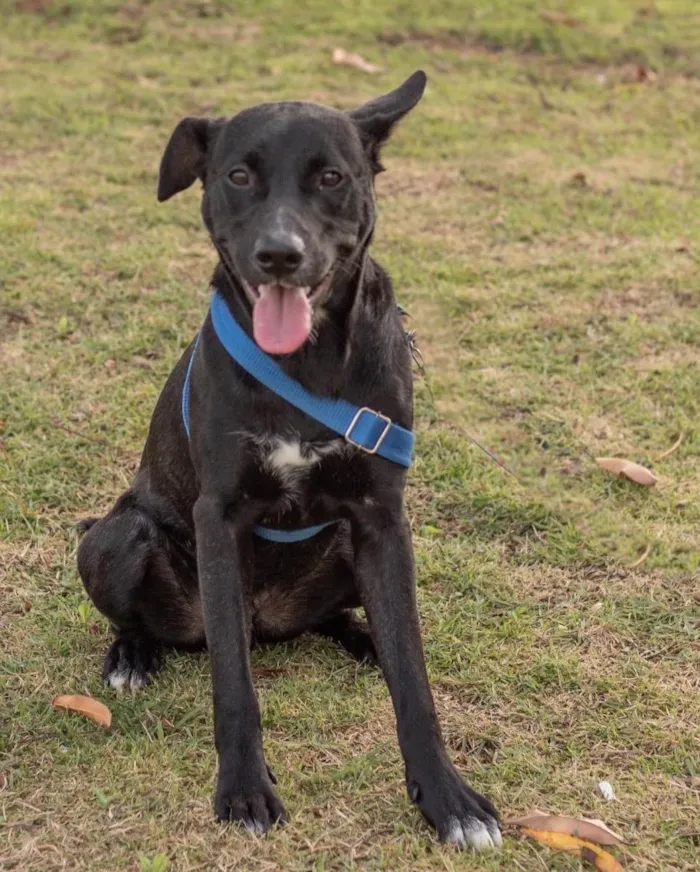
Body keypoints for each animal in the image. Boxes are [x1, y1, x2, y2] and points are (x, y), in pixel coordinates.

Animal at [76, 71, 500, 848]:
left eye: (331, 177)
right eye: (239, 176)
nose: (279, 254)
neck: (305, 363)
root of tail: (269, 620)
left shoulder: (382, 520)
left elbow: (415, 678)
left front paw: (448, 798)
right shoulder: (220, 517)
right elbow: (234, 686)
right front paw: (244, 790)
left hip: (348, 552)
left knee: (345, 620)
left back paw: (363, 640)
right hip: (116, 536)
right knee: (148, 613)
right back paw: (132, 655)